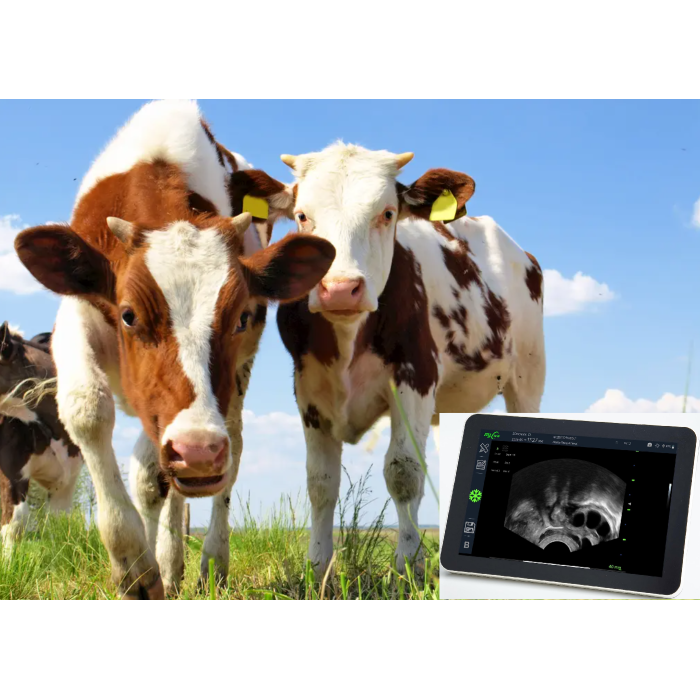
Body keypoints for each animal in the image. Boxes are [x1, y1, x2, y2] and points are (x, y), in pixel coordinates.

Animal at [14, 100, 335, 598]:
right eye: (128, 315)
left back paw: (200, 562)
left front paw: (150, 564)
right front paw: (134, 562)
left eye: (241, 317)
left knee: (218, 453)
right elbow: (88, 410)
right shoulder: (78, 311)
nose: (198, 452)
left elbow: (164, 472)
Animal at [274, 143, 545, 573]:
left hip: (529, 378)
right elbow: (320, 482)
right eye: (301, 215)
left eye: (387, 213)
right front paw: (319, 568)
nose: (340, 288)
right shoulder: (308, 390)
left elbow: (403, 472)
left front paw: (407, 568)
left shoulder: (416, 376)